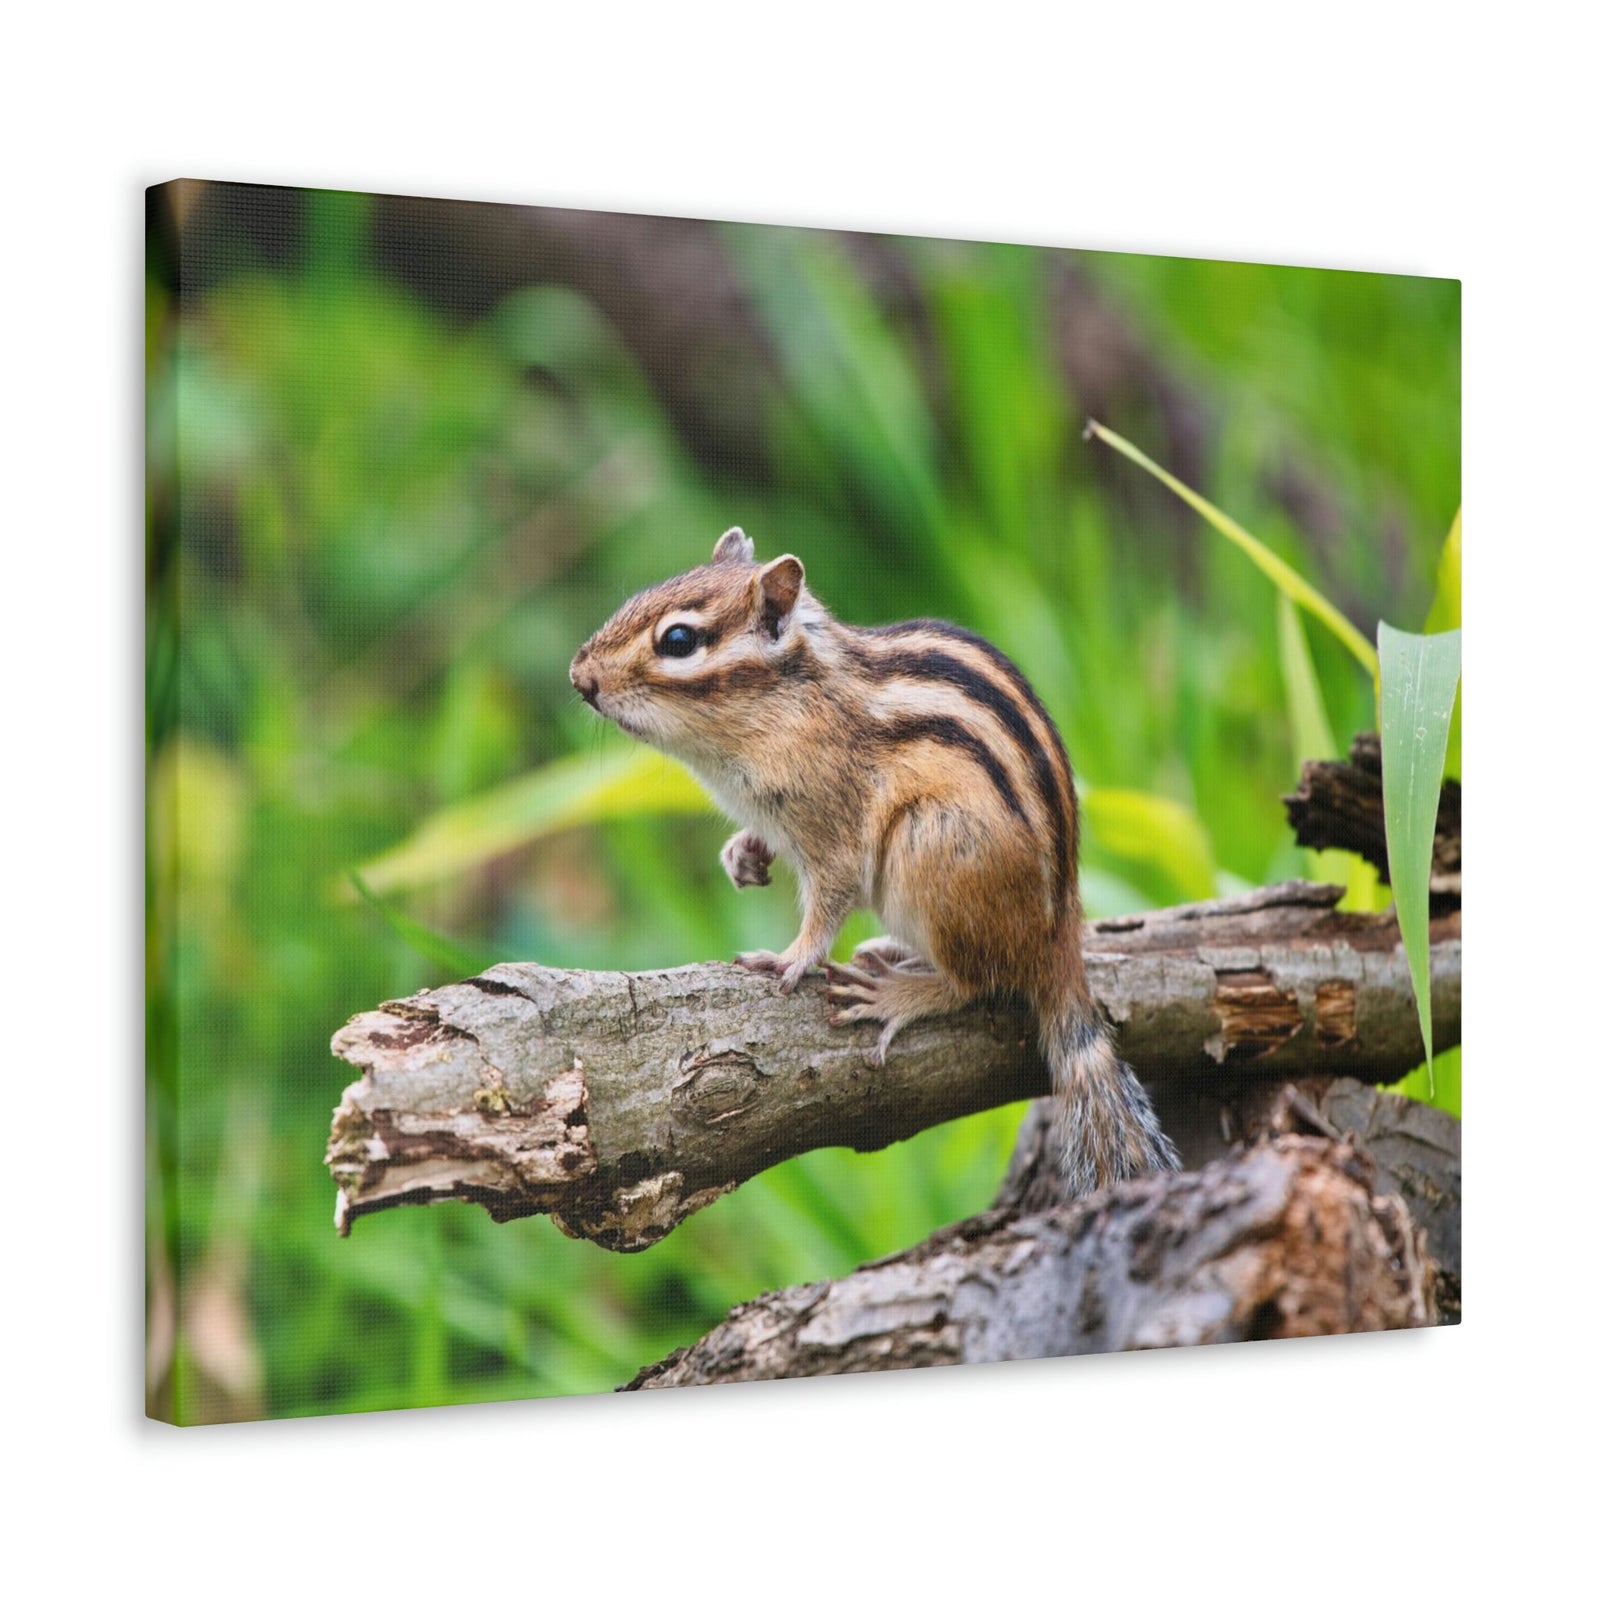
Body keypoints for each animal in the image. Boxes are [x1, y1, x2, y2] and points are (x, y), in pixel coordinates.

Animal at [569, 527, 1180, 1198]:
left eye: (677, 641)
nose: (579, 677)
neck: (788, 703)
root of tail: (1058, 938)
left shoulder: (835, 826)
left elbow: (830, 900)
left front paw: (791, 957)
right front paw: (742, 855)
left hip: (929, 846)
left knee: (975, 983)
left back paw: (898, 993)